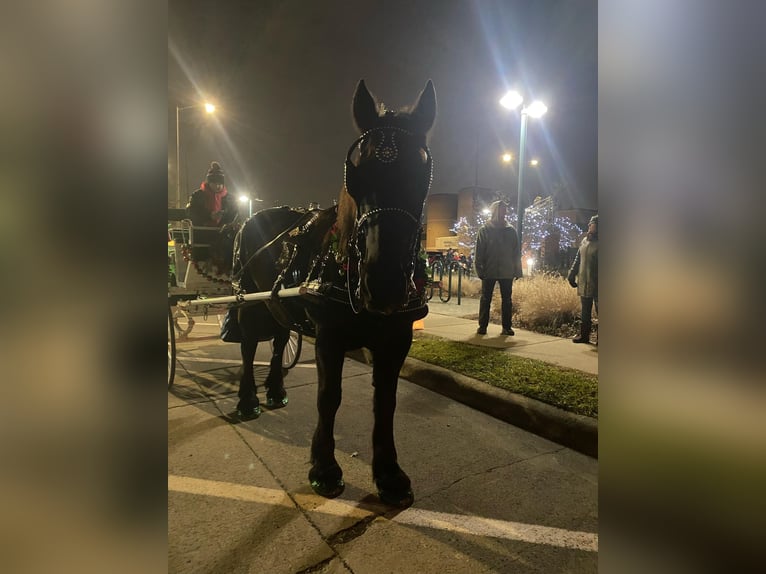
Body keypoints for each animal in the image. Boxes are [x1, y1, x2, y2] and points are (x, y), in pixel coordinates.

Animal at [234, 80, 438, 508]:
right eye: (356, 175)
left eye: (422, 175)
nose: (384, 284)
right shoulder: (329, 336)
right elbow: (329, 397)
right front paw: (324, 468)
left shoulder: (397, 339)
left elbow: (386, 401)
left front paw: (389, 474)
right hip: (247, 302)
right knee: (247, 347)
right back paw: (248, 401)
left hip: (279, 304)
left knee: (279, 340)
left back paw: (275, 391)